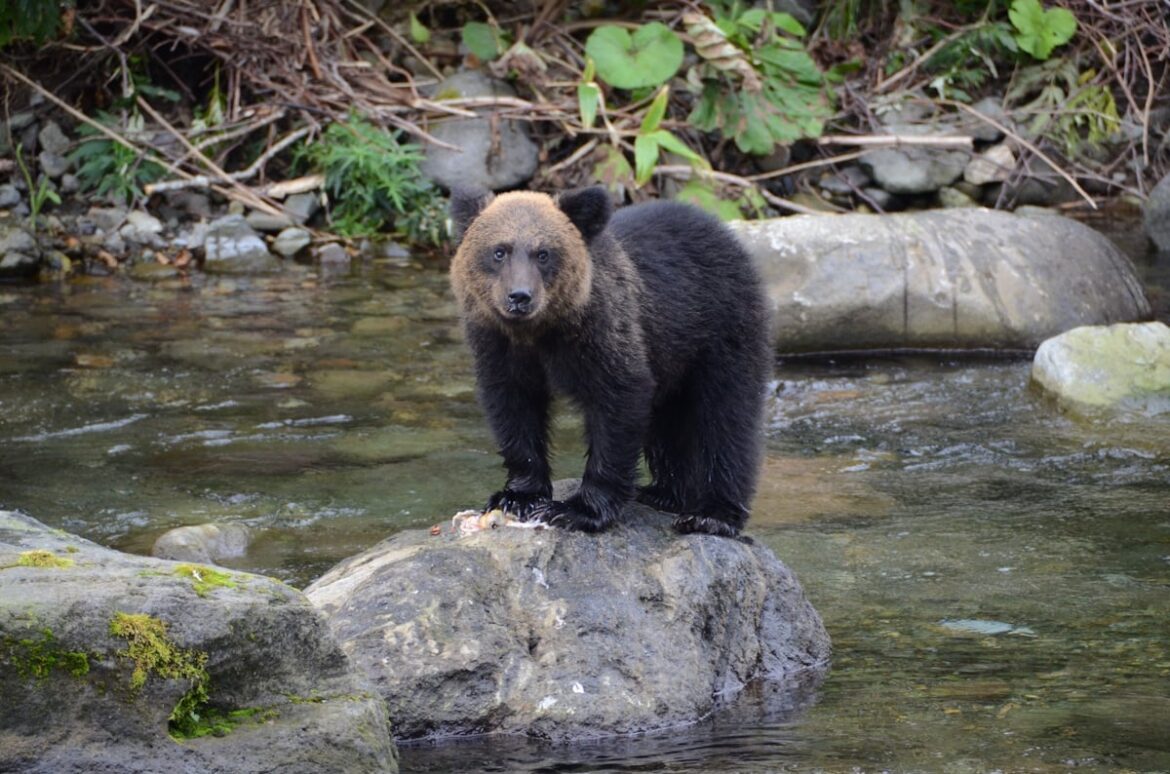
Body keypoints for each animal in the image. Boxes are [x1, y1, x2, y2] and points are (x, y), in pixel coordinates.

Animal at [448, 185, 771, 537]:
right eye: (499, 251)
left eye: (543, 253)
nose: (519, 297)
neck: (539, 332)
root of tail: (723, 231)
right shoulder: (498, 346)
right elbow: (513, 407)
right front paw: (517, 496)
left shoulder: (604, 333)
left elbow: (617, 402)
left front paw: (577, 510)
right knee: (668, 425)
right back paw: (663, 493)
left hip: (721, 328)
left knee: (726, 417)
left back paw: (711, 514)